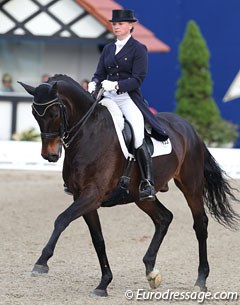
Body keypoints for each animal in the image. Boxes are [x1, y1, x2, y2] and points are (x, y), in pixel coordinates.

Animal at [17, 73, 239, 294]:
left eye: (54, 112)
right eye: (34, 114)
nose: (50, 155)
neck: (88, 134)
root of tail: (190, 129)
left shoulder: (93, 195)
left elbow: (62, 219)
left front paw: (41, 262)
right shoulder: (83, 198)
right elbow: (98, 239)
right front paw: (104, 283)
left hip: (190, 185)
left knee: (200, 224)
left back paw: (201, 280)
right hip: (141, 196)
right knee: (164, 218)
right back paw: (151, 271)